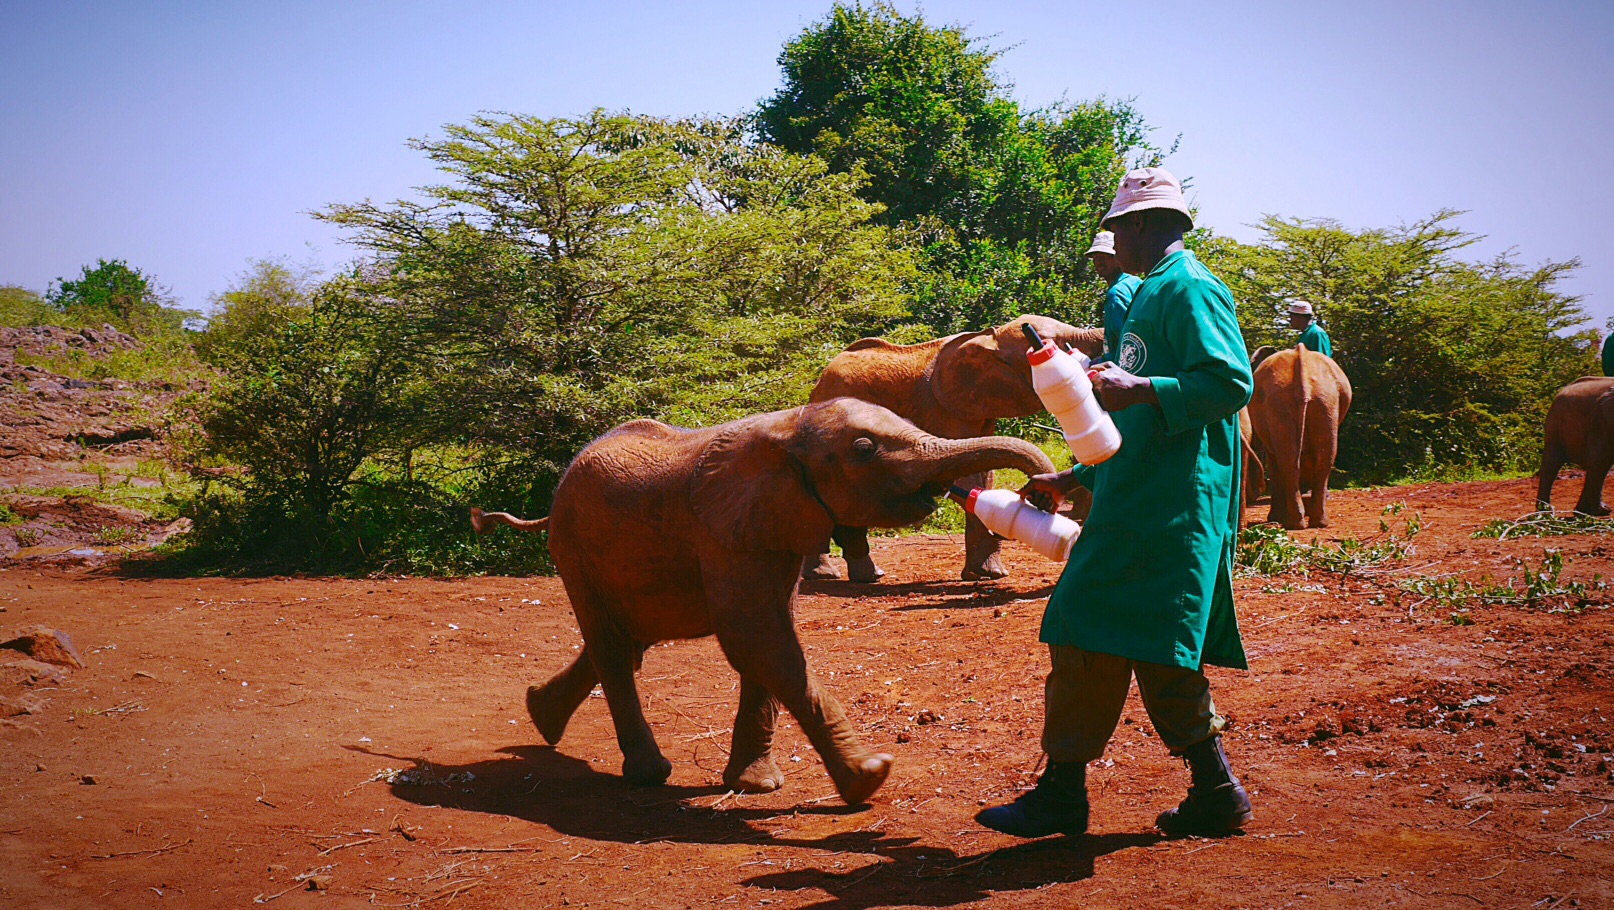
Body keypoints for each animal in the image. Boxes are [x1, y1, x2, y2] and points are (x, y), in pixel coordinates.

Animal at [803, 313, 1103, 584]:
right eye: (1052, 342)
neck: (989, 338)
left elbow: (985, 474)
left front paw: (989, 573)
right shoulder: (944, 409)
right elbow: (968, 477)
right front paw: (989, 574)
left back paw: (843, 576)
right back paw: (841, 577)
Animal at [1246, 343, 1349, 529]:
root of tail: (1304, 382)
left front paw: (1275, 517)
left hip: (1309, 402)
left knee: (1293, 459)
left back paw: (1299, 522)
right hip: (1322, 402)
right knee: (1320, 457)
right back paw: (1312, 522)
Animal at [1530, 377, 1614, 516]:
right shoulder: (1601, 421)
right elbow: (1600, 459)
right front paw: (1596, 512)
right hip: (1555, 424)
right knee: (1552, 464)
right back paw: (1545, 513)